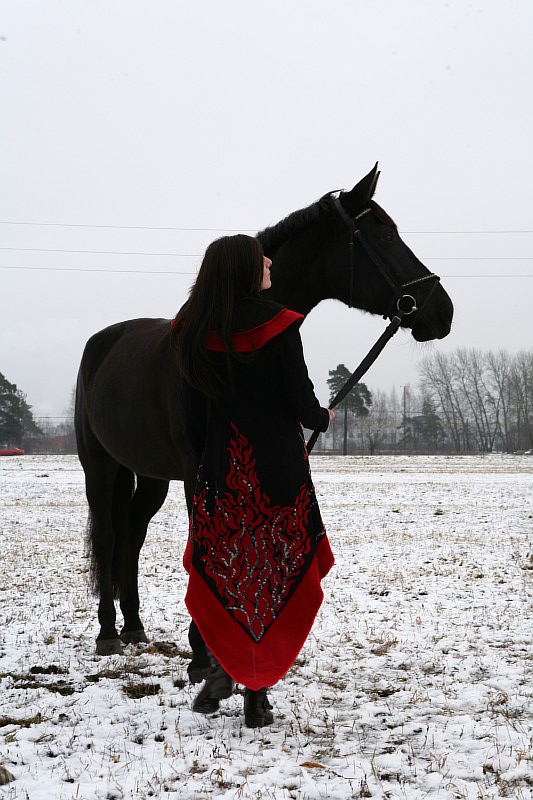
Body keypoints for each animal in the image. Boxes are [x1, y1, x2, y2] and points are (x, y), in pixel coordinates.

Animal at [75, 164, 454, 659]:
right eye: (386, 236)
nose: (442, 310)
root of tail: (102, 344)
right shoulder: (199, 471)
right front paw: (209, 649)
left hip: (150, 473)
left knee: (132, 536)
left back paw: (134, 626)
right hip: (100, 466)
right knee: (107, 536)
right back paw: (107, 633)